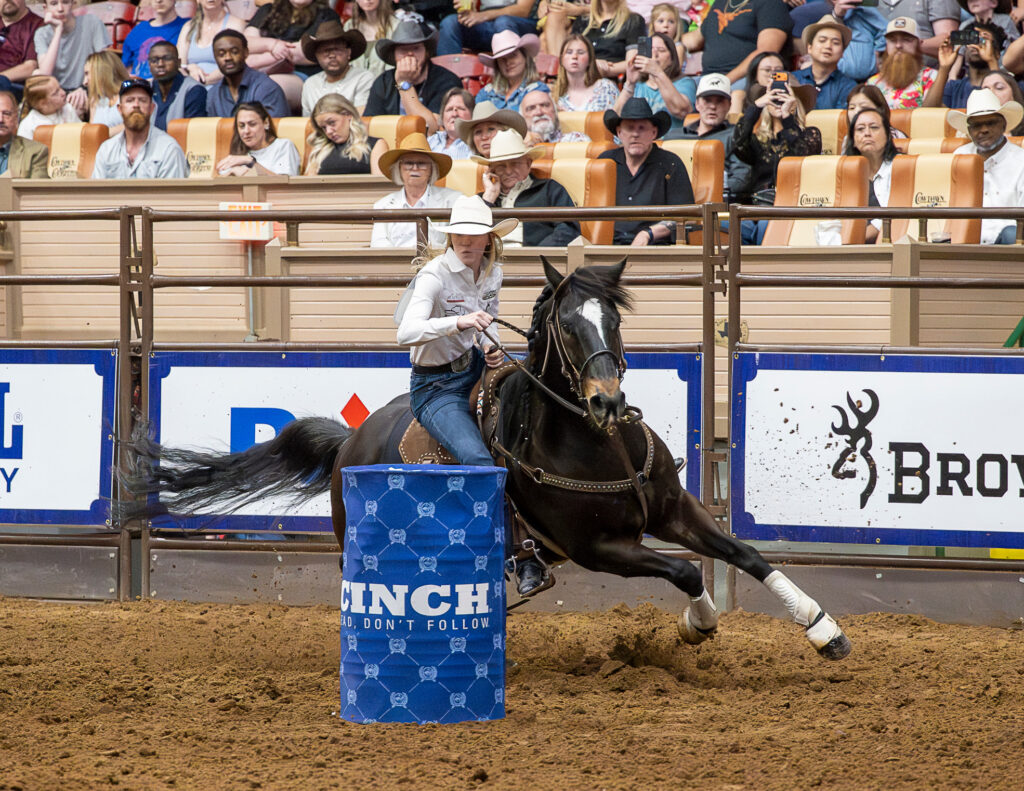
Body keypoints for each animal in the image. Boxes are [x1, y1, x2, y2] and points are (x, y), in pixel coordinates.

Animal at [122, 259, 851, 661]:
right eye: (565, 326)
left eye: (612, 320)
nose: (607, 399)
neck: (595, 441)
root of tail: (350, 441)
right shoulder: (597, 548)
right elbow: (682, 571)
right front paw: (698, 625)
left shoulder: (673, 507)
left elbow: (743, 554)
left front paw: (823, 629)